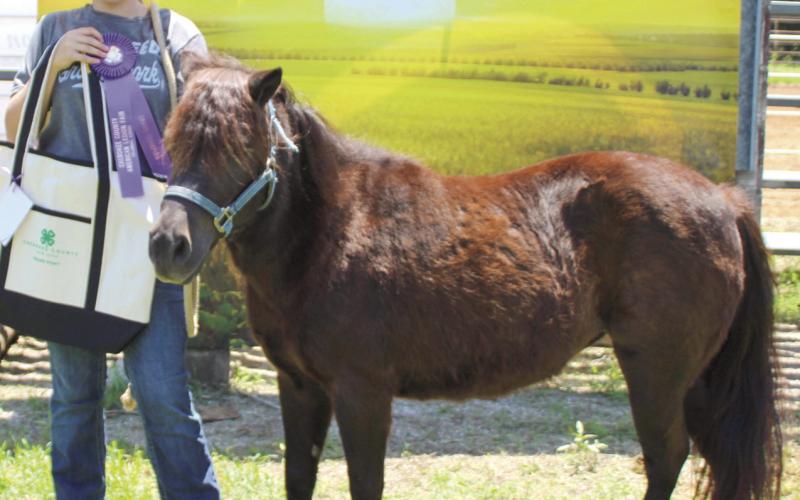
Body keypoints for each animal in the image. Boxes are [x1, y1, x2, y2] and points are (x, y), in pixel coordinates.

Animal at [149, 53, 782, 500]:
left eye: (240, 148)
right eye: (173, 140)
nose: (167, 246)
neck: (331, 231)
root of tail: (724, 199)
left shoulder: (362, 393)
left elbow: (364, 483)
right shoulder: (300, 386)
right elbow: (299, 477)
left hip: (658, 371)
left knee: (667, 455)